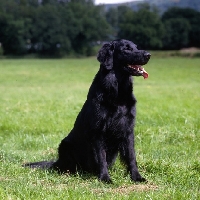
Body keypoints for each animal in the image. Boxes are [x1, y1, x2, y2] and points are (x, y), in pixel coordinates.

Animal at [23, 39, 150, 183]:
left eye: (136, 47)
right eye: (126, 49)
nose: (148, 55)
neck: (117, 92)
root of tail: (56, 162)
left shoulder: (128, 129)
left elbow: (131, 156)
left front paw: (136, 177)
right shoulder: (98, 131)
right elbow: (101, 157)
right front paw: (105, 178)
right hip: (65, 145)